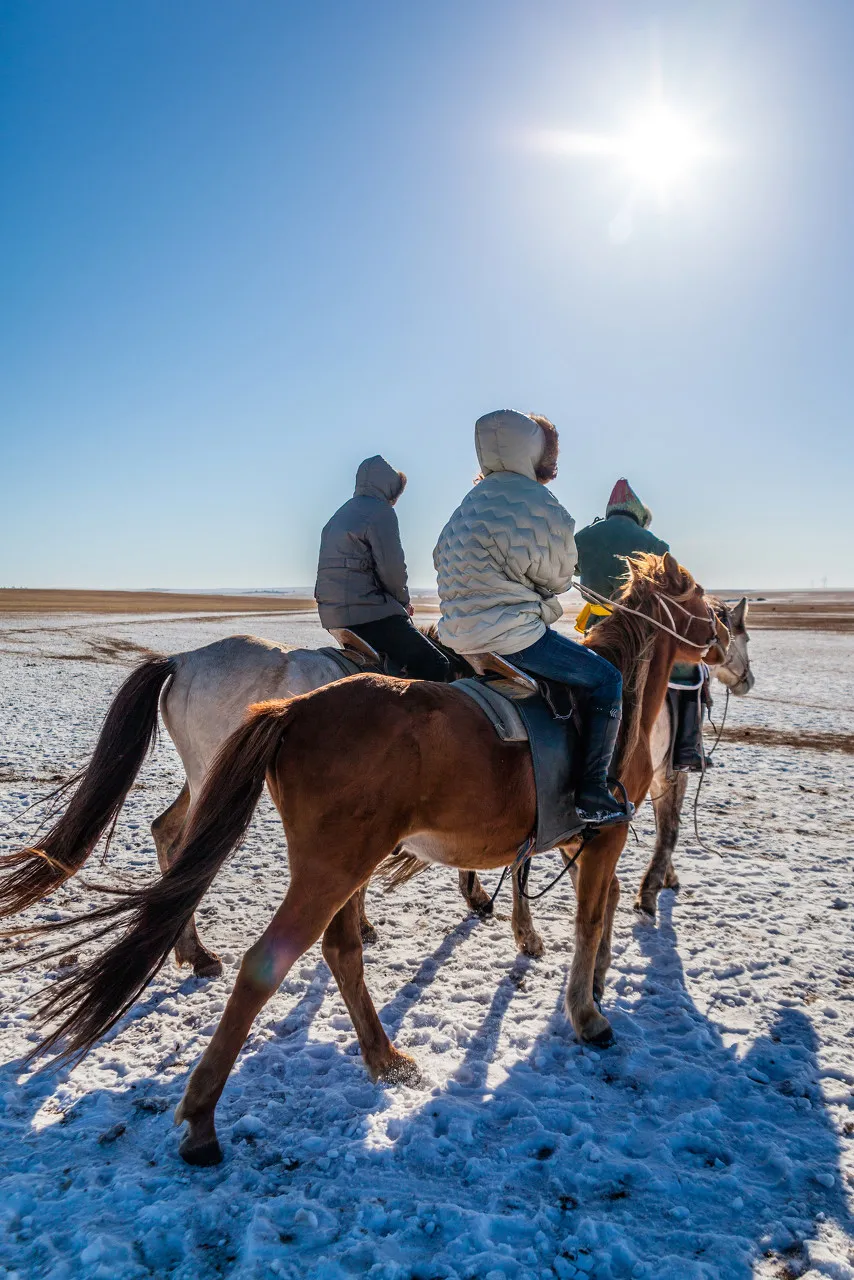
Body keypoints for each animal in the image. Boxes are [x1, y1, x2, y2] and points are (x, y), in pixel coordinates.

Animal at [3, 552, 732, 1172]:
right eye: (700, 594)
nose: (728, 645)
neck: (619, 700)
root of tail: (290, 708)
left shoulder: (578, 840)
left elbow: (589, 905)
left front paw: (586, 976)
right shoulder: (605, 831)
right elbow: (588, 917)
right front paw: (587, 1013)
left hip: (336, 856)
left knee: (331, 943)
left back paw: (382, 1056)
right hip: (327, 862)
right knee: (263, 957)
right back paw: (204, 1116)